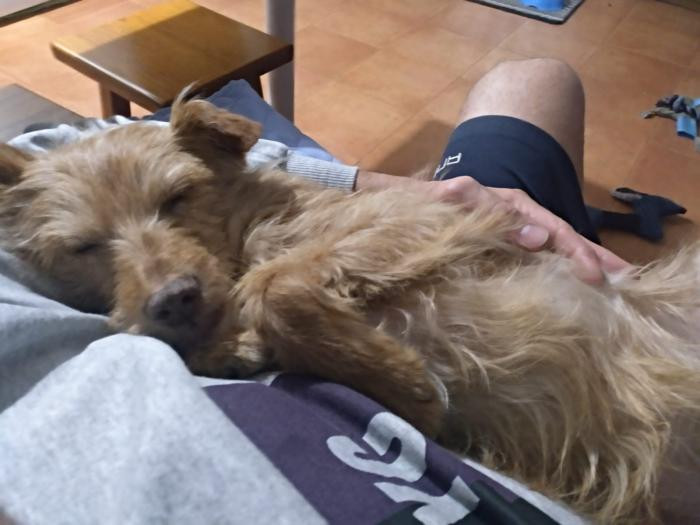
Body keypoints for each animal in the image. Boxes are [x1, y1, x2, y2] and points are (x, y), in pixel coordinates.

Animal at [1, 98, 699, 524]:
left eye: (178, 198)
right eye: (84, 247)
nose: (174, 298)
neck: (253, 228)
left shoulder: (435, 222)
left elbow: (274, 286)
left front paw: (407, 389)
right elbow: (264, 297)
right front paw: (229, 345)